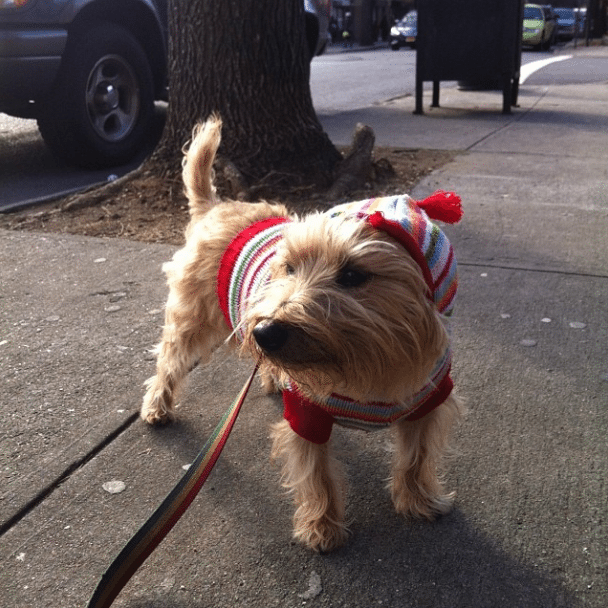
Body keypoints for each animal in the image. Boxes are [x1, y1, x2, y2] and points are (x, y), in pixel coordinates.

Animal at [142, 116, 466, 552]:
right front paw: (323, 528)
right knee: (169, 361)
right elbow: (318, 474)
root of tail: (217, 205)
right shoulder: (307, 413)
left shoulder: (428, 401)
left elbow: (417, 455)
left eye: (352, 275)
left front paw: (418, 499)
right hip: (191, 320)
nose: (265, 332)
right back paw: (157, 406)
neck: (368, 358)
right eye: (289, 268)